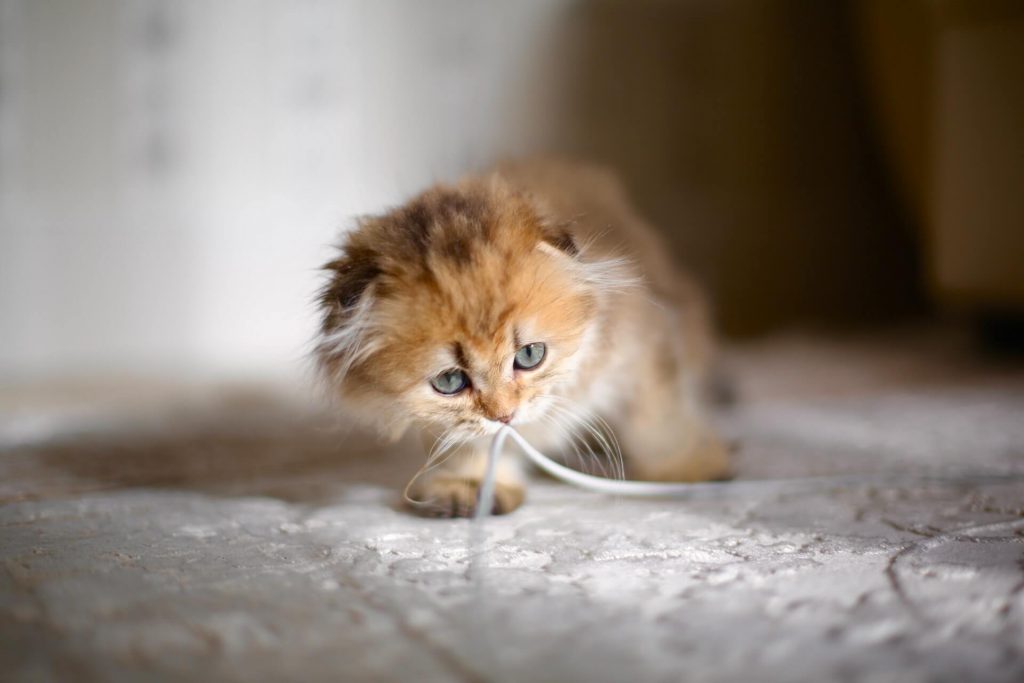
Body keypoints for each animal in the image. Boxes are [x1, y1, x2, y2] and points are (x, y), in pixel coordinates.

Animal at [315, 157, 733, 516]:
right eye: (450, 381)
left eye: (530, 356)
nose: (505, 415)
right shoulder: (449, 423)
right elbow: (469, 443)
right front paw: (470, 486)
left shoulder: (644, 346)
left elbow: (659, 417)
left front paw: (687, 467)